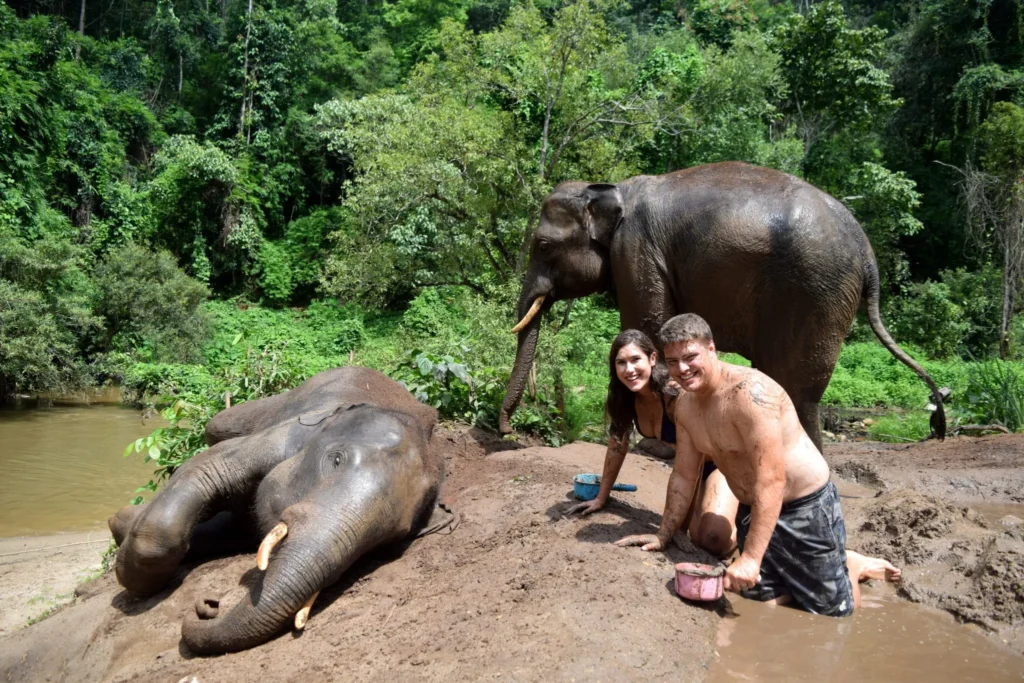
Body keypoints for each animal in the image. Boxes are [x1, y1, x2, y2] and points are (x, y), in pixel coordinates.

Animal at [108, 367, 455, 655]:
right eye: (336, 459)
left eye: (391, 537)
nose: (209, 605)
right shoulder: (285, 437)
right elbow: (209, 468)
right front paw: (131, 575)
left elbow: (230, 528)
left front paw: (122, 528)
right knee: (215, 427)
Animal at [499, 162, 946, 448]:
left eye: (543, 245)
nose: (507, 431)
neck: (609, 189)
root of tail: (869, 255)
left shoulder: (636, 252)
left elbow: (647, 323)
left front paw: (652, 446)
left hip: (816, 292)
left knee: (796, 386)